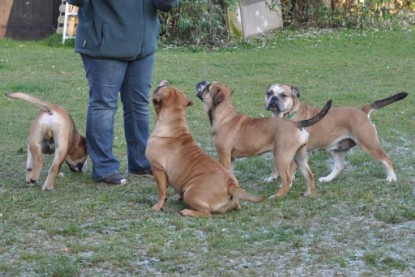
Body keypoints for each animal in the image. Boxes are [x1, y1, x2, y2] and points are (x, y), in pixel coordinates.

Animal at [145, 80, 264, 218]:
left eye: (163, 88)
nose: (165, 82)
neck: (174, 125)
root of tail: (231, 185)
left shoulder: (158, 169)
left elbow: (162, 191)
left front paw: (158, 206)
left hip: (190, 192)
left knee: (206, 213)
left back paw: (187, 211)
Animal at [197, 81, 334, 197]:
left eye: (208, 87)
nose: (201, 82)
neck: (225, 116)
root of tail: (294, 124)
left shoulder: (223, 154)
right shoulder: (231, 158)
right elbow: (230, 173)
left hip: (281, 157)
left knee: (287, 179)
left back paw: (277, 196)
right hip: (300, 156)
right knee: (309, 175)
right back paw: (309, 194)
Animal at [264, 84, 408, 183]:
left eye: (283, 95)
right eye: (269, 93)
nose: (273, 99)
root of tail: (362, 111)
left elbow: (289, 170)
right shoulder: (279, 149)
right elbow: (275, 166)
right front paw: (271, 178)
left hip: (369, 145)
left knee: (386, 159)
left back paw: (391, 177)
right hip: (339, 149)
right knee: (339, 167)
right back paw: (327, 179)